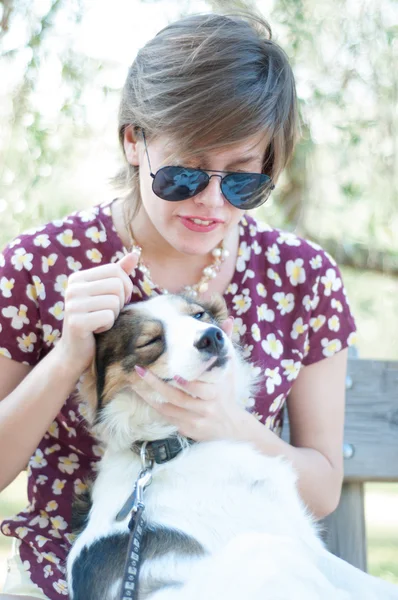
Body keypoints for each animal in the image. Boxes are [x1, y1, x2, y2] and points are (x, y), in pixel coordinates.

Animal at [67, 292, 398, 600]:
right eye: (151, 340)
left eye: (198, 315)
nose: (211, 337)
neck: (171, 446)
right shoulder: (291, 536)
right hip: (265, 548)